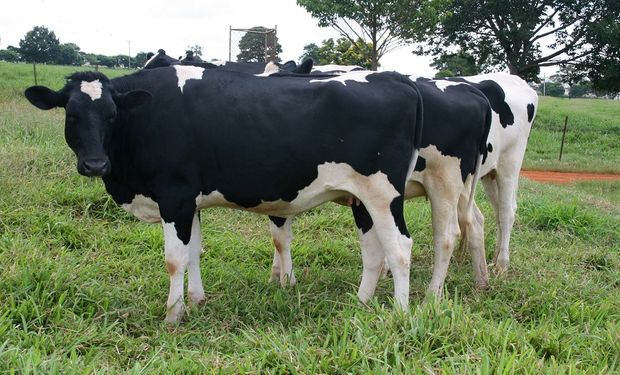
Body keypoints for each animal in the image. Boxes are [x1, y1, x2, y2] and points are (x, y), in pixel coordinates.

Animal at [23, 67, 422, 324]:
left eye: (111, 115)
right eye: (72, 115)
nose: (94, 164)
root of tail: (395, 79)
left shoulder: (173, 196)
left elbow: (174, 259)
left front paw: (172, 315)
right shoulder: (190, 201)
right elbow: (194, 252)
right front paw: (197, 301)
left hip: (383, 193)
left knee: (400, 248)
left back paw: (400, 314)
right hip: (362, 198)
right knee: (374, 250)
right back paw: (362, 303)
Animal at [268, 75, 492, 296]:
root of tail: (469, 89)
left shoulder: (282, 191)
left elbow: (280, 237)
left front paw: (284, 282)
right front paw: (277, 278)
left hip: (441, 183)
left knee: (445, 236)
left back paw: (432, 296)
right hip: (461, 188)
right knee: (474, 221)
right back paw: (481, 281)